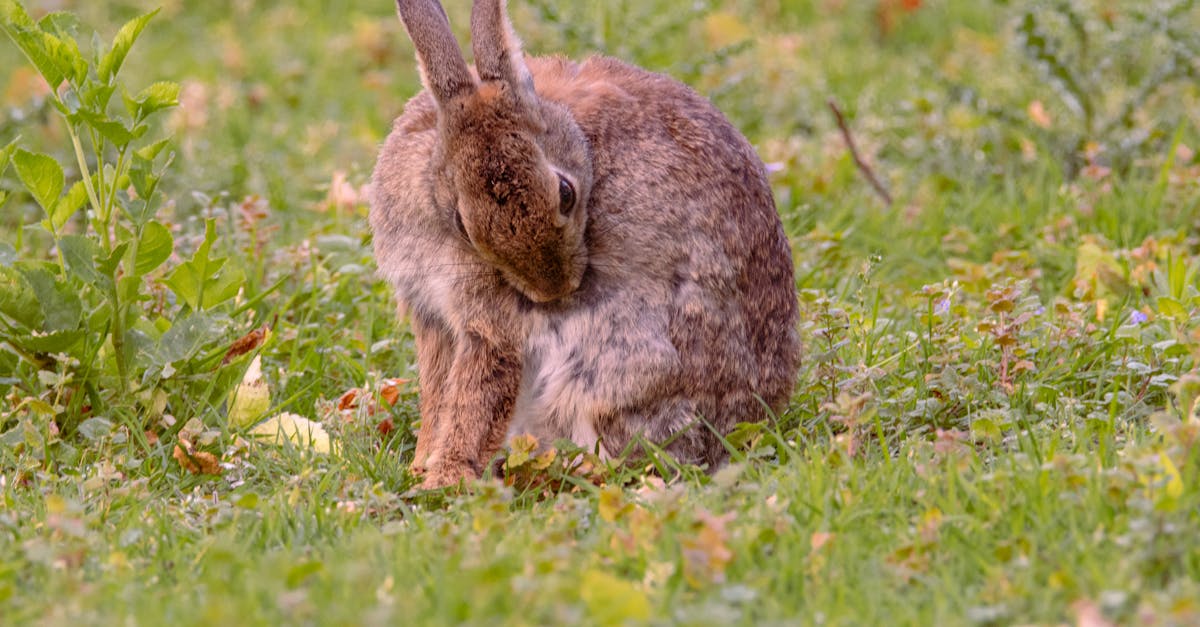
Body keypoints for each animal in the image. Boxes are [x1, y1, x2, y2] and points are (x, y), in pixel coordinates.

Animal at [370, 0, 801, 490]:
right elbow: (439, 395)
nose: (554, 292)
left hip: (615, 365)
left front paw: (444, 479)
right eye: (462, 221)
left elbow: (475, 400)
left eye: (566, 193)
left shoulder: (491, 325)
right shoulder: (434, 319)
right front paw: (423, 467)